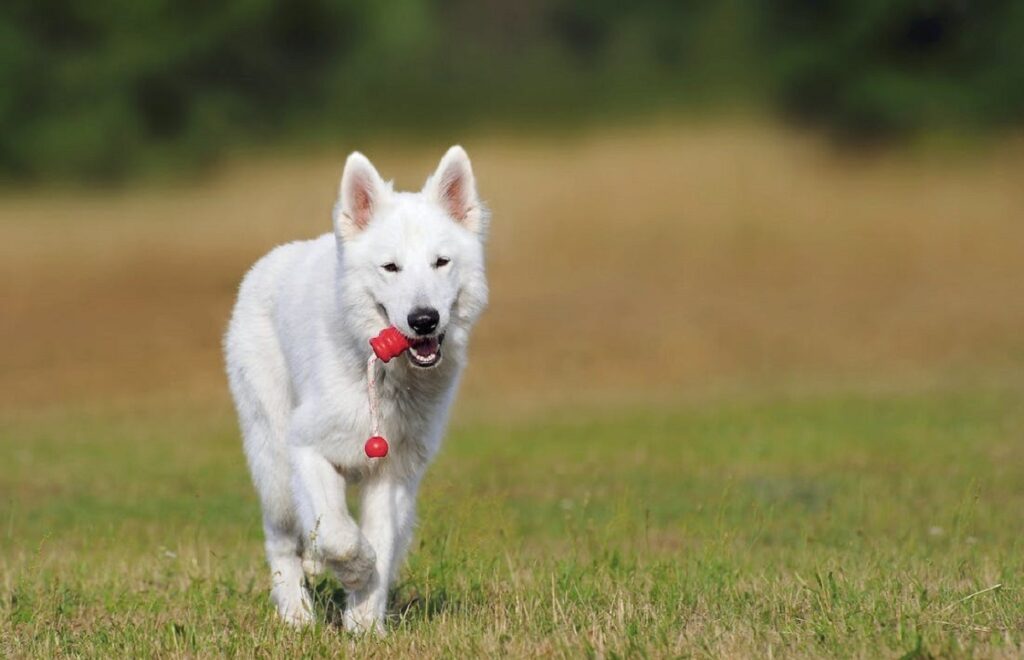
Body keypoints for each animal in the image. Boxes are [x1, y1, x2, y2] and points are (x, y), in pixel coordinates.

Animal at [226, 146, 489, 630]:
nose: (424, 320)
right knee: (281, 539)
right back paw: (296, 614)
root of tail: (268, 262)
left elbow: (380, 542)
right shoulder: (306, 449)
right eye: (391, 268)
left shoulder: (393, 475)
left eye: (441, 262)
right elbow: (339, 534)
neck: (384, 376)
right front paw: (354, 571)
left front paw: (364, 624)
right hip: (273, 463)